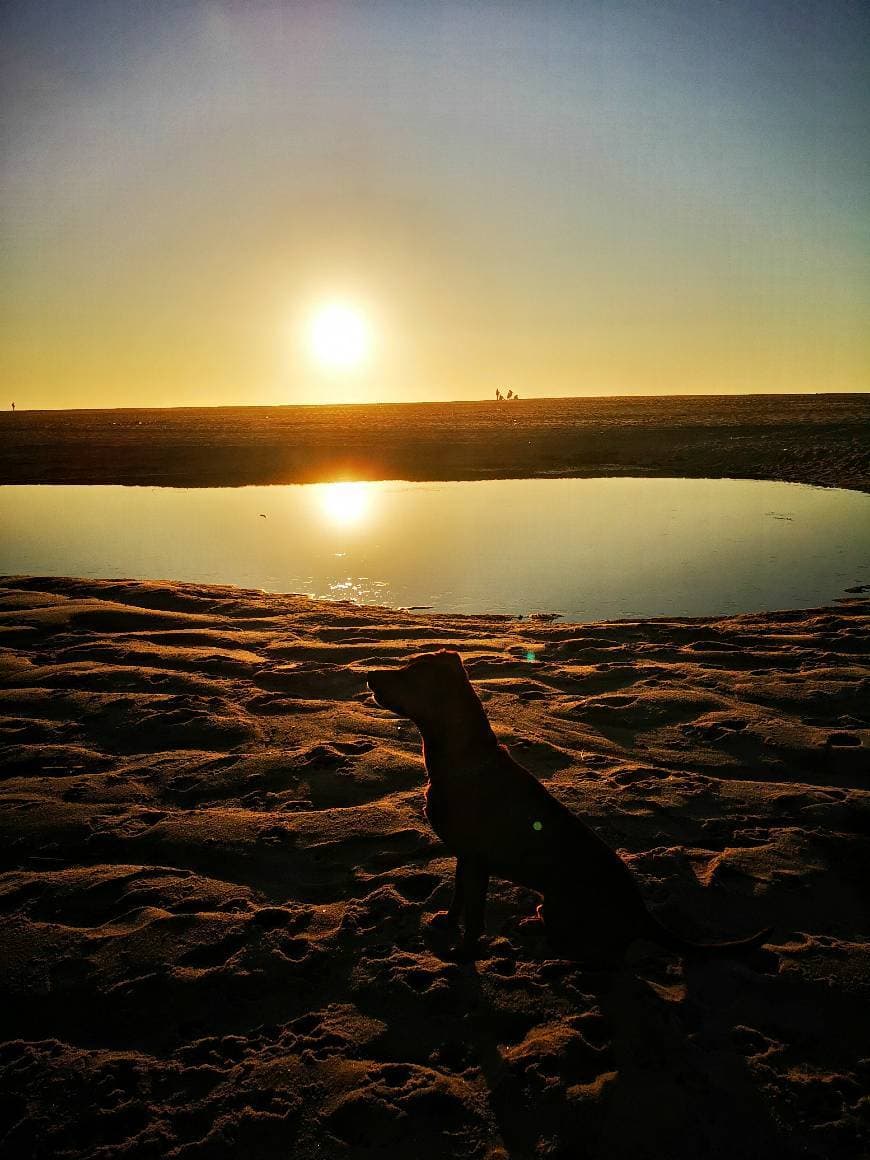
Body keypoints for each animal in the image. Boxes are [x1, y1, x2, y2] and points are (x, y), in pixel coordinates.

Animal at [364, 654, 774, 960]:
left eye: (409, 674)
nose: (369, 675)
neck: (462, 760)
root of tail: (642, 915)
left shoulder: (477, 861)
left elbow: (475, 916)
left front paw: (463, 954)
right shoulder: (464, 856)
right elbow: (457, 897)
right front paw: (447, 923)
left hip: (566, 911)